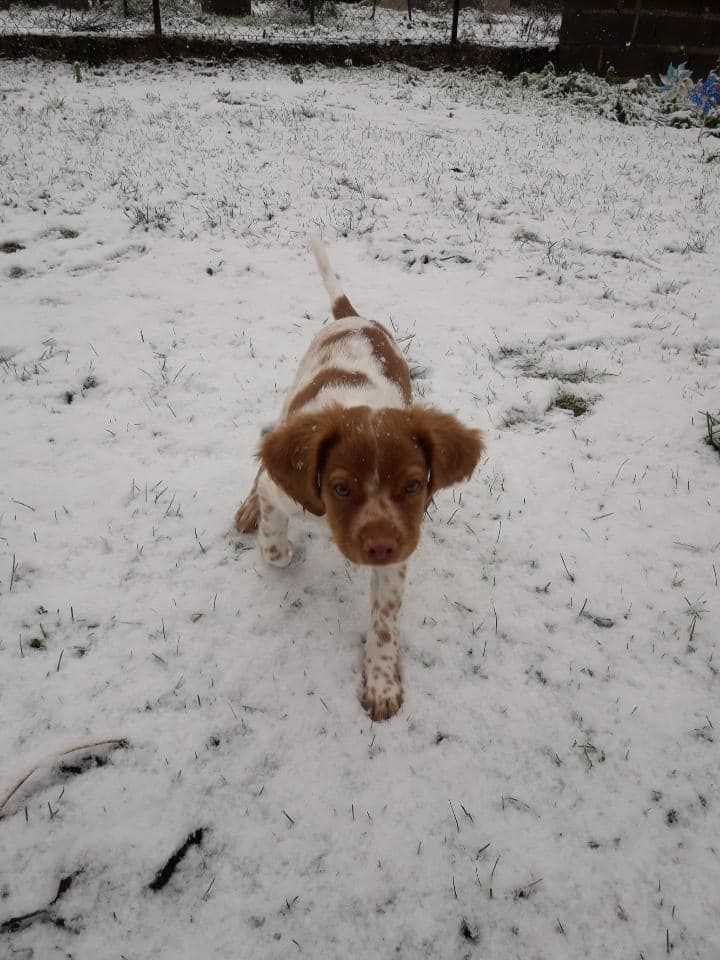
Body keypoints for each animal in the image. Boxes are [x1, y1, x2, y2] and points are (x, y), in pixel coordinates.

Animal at [236, 240, 484, 720]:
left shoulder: (400, 543)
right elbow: (273, 547)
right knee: (264, 458)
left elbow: (384, 622)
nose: (379, 547)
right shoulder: (285, 492)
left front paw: (382, 683)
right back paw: (248, 509)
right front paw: (281, 546)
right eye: (340, 488)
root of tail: (352, 315)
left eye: (413, 485)